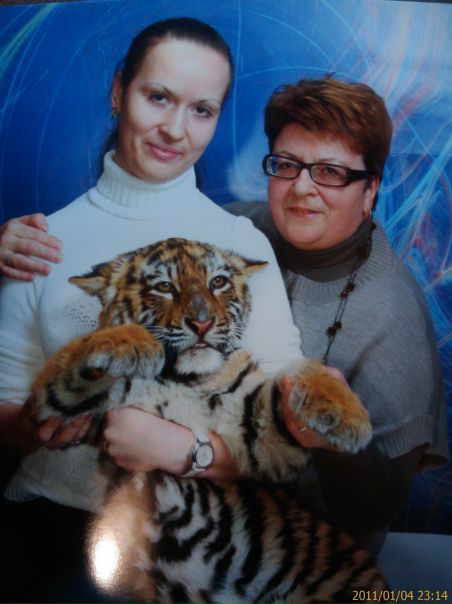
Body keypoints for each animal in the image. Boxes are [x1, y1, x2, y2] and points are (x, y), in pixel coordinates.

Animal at [29, 238, 386, 603]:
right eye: (164, 287)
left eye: (218, 282)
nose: (202, 323)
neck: (184, 378)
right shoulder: (62, 406)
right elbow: (79, 350)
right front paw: (137, 342)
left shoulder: (263, 436)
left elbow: (305, 367)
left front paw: (349, 418)